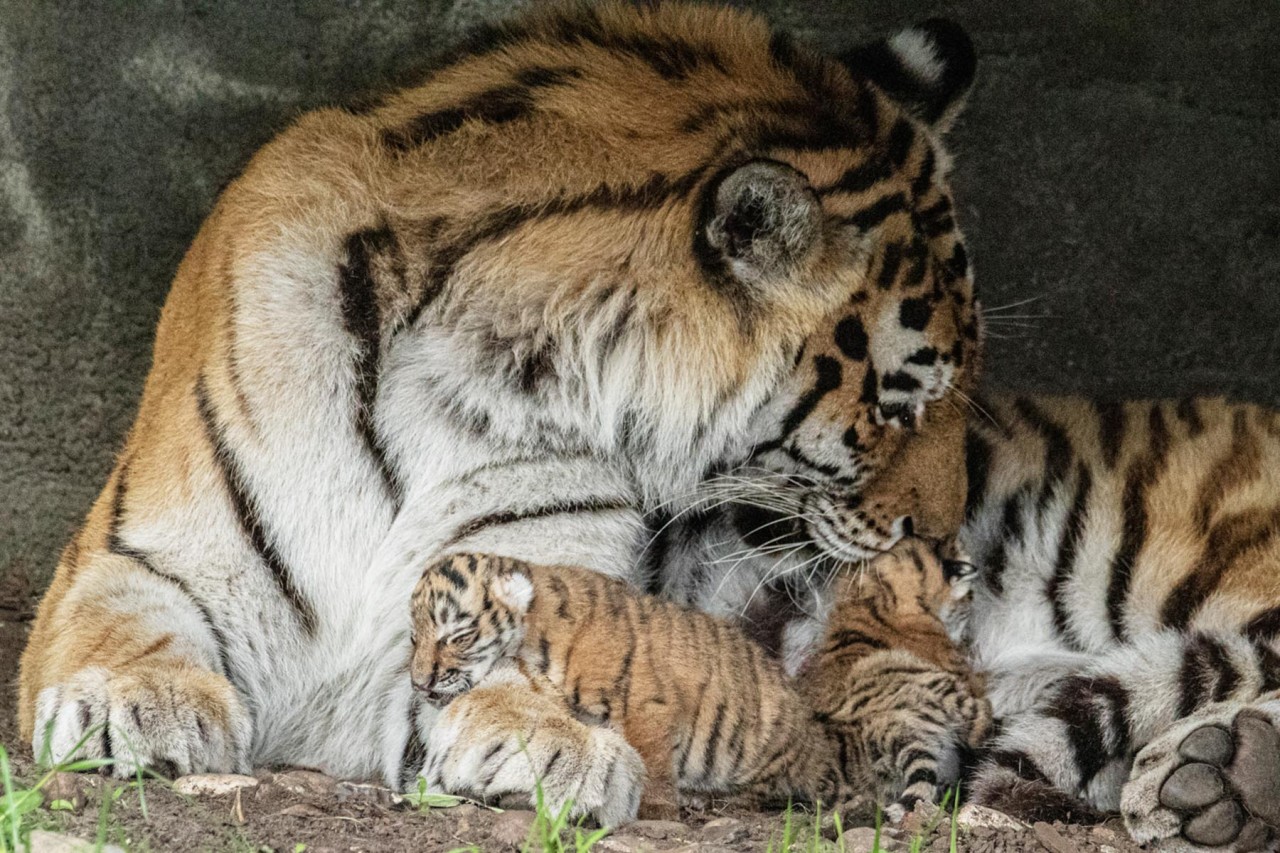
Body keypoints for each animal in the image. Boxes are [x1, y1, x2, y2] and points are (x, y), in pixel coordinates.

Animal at [15, 0, 977, 824]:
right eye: (899, 403)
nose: (947, 542)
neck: (497, 353)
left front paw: (554, 742)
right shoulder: (136, 550)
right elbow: (128, 624)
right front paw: (136, 701)